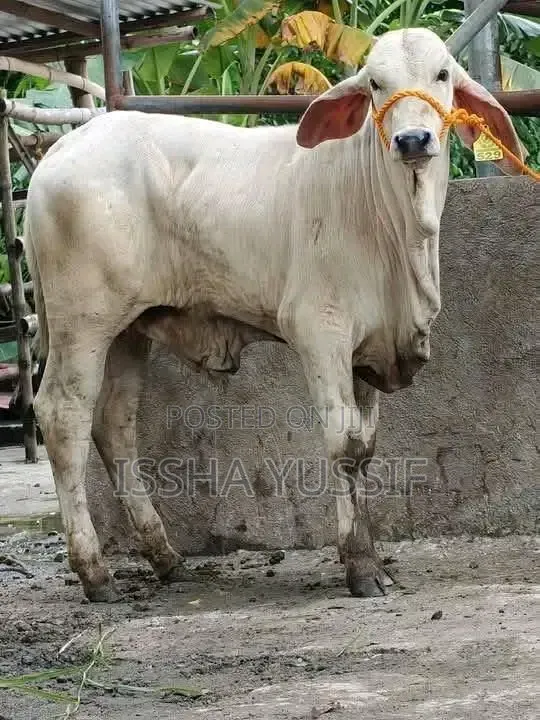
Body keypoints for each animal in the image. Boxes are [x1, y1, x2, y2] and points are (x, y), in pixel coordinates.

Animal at [23, 28, 524, 602]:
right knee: (64, 417)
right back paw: (95, 572)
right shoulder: (320, 330)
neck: (398, 232)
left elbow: (367, 448)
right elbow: (344, 445)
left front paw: (371, 556)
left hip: (130, 328)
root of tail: (62, 148)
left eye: (442, 74)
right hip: (82, 322)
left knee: (115, 425)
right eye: (376, 84)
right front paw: (360, 566)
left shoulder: (367, 349)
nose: (413, 140)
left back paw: (165, 557)